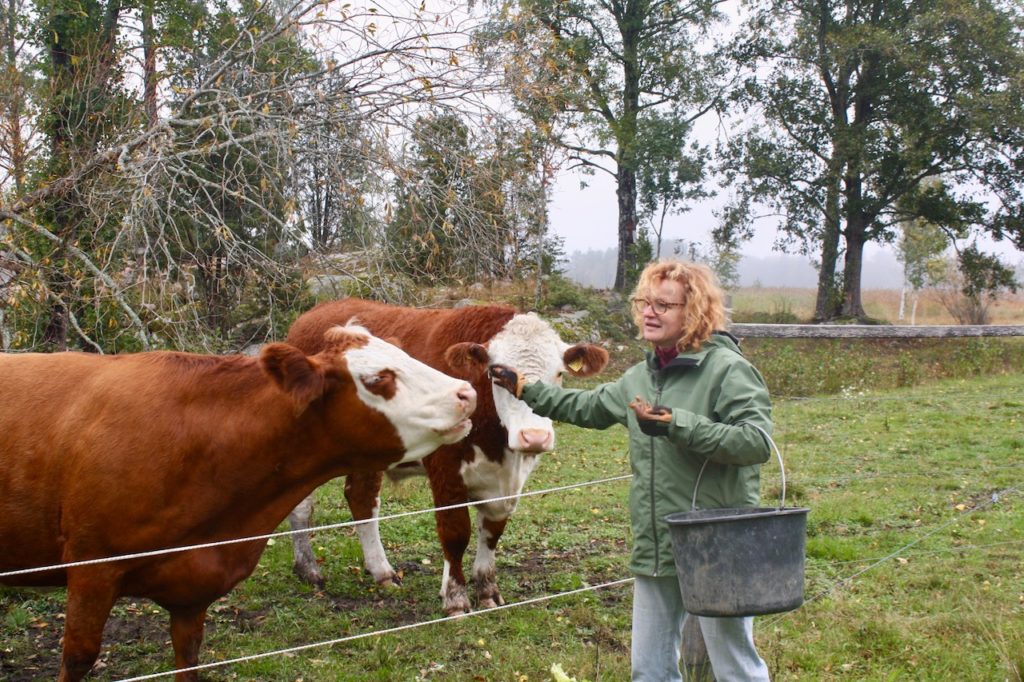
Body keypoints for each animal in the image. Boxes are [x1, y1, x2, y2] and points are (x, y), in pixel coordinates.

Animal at [0, 325, 475, 679]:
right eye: (378, 378)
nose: (467, 392)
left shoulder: (193, 589)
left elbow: (188, 658)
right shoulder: (91, 568)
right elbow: (78, 656)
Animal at [286, 296, 606, 610]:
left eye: (560, 373)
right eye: (497, 375)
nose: (535, 437)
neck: (497, 447)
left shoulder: (505, 484)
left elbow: (492, 532)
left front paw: (487, 590)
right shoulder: (445, 467)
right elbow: (455, 532)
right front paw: (455, 598)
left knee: (362, 498)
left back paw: (382, 572)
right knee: (302, 506)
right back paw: (309, 569)